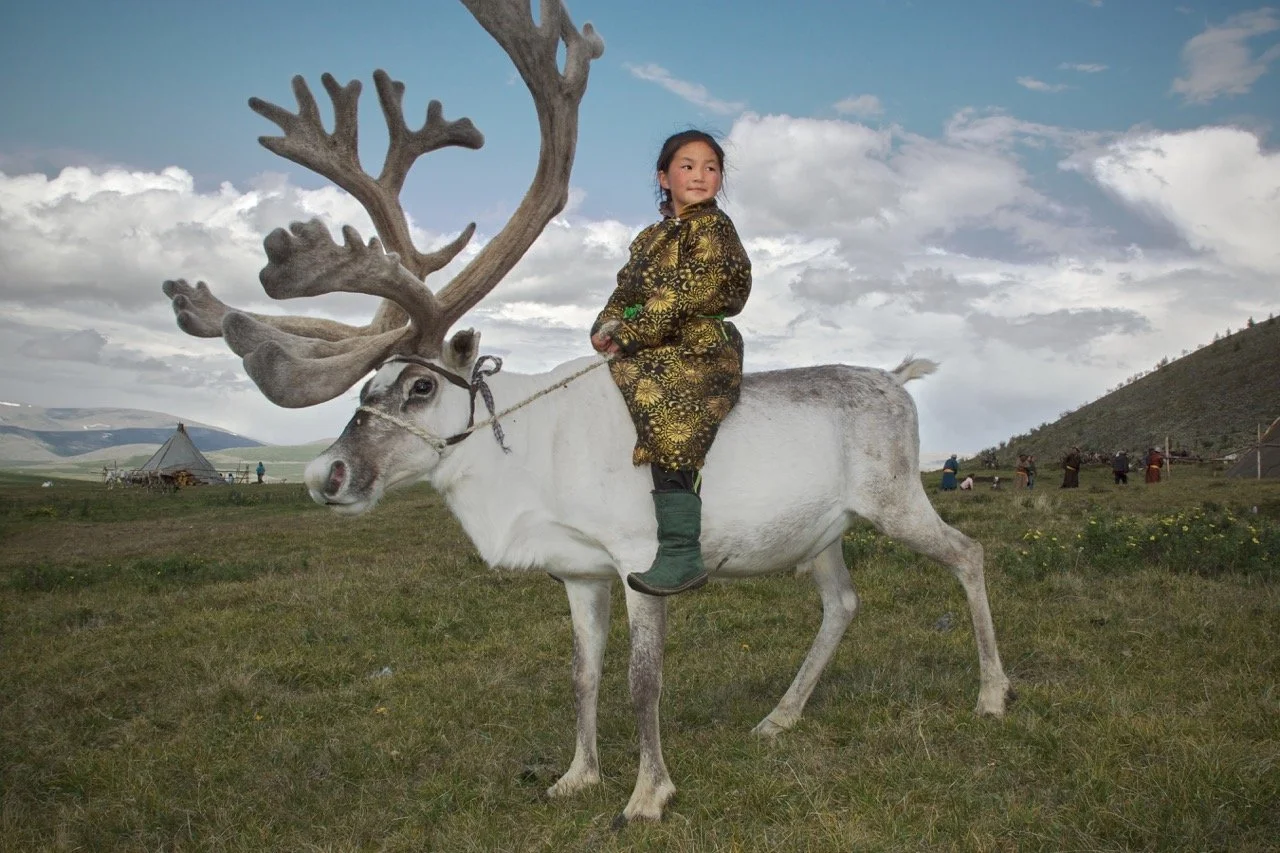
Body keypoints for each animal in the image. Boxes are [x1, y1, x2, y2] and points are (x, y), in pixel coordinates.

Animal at [161, 0, 1011, 825]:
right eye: (364, 388)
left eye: (421, 388)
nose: (326, 474)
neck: (524, 460)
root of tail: (896, 379)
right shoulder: (577, 571)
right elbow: (582, 675)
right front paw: (576, 775)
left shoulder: (640, 559)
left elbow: (642, 682)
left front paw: (647, 793)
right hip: (820, 533)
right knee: (841, 602)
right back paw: (779, 717)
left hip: (896, 498)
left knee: (967, 554)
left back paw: (992, 692)